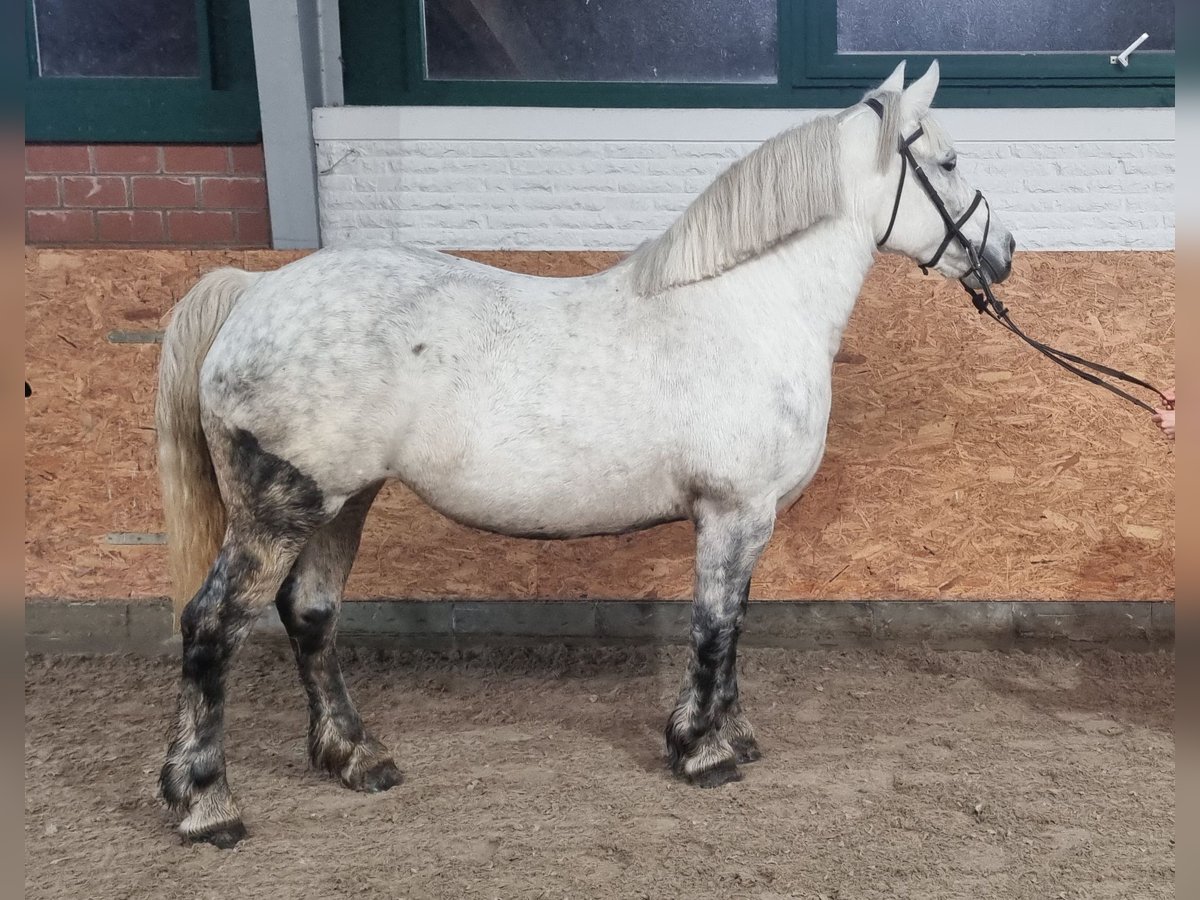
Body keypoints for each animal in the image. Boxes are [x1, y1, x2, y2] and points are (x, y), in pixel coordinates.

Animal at [152, 61, 1012, 844]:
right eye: (947, 162)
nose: (1002, 249)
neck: (749, 308)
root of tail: (253, 291)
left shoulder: (746, 518)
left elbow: (732, 626)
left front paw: (730, 736)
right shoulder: (734, 512)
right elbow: (714, 628)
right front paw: (702, 752)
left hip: (343, 502)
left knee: (310, 613)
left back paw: (356, 757)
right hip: (280, 511)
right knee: (211, 627)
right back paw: (207, 803)